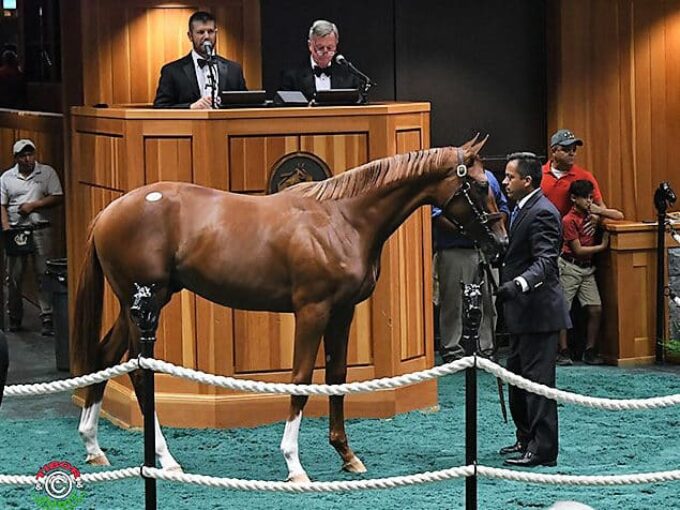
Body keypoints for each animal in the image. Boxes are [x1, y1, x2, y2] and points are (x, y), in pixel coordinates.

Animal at [71, 138, 508, 482]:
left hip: (137, 304)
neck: (342, 219)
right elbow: (300, 379)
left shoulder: (343, 311)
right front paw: (294, 464)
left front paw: (347, 455)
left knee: (106, 355)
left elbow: (336, 377)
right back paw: (166, 459)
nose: (501, 243)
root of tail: (108, 211)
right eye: (480, 185)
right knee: (138, 369)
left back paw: (94, 446)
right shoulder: (311, 311)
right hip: (146, 302)